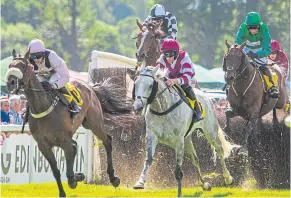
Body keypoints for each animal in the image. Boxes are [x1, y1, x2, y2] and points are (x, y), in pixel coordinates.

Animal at [5, 49, 132, 196]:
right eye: (10, 65)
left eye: (23, 65)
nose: (10, 82)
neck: (42, 107)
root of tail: (90, 87)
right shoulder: (44, 146)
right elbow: (56, 171)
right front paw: (64, 191)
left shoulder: (64, 140)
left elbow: (69, 172)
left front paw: (75, 179)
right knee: (76, 145)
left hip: (94, 123)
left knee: (107, 141)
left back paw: (113, 178)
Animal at [131, 66, 241, 196]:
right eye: (136, 83)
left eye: (149, 85)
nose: (137, 107)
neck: (163, 109)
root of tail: (206, 95)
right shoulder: (152, 136)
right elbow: (148, 159)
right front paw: (140, 182)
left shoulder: (178, 141)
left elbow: (178, 169)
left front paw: (179, 193)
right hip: (187, 139)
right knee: (195, 158)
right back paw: (204, 184)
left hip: (210, 133)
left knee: (219, 150)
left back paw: (228, 178)